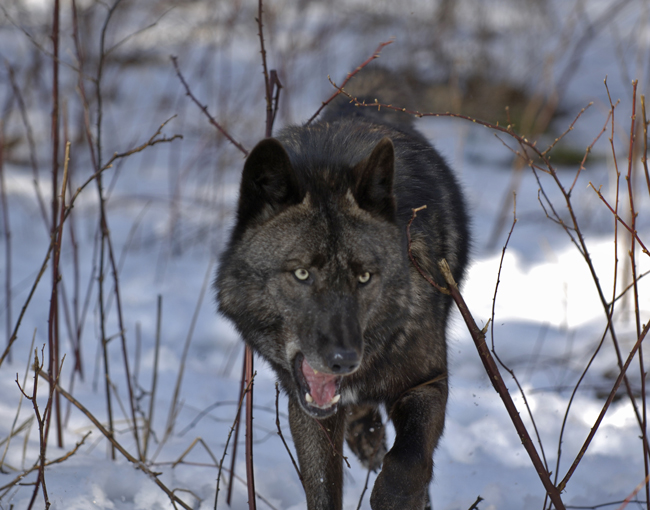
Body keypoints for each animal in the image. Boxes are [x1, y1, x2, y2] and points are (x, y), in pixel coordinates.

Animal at [216, 68, 469, 510]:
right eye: (301, 274)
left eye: (364, 277)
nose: (342, 360)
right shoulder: (306, 407)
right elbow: (320, 485)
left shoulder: (429, 382)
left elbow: (408, 462)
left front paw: (397, 498)